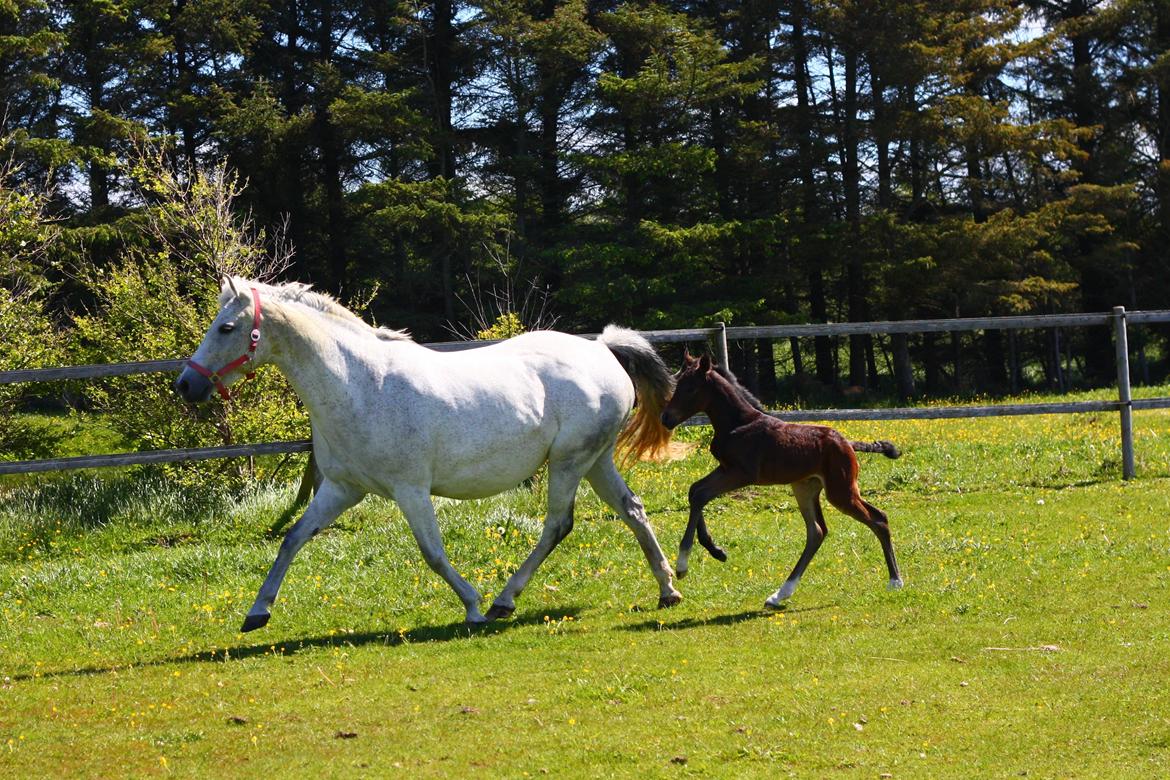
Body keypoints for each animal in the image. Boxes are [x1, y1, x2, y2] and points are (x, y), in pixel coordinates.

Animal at [176, 277, 683, 631]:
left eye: (226, 327)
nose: (187, 385)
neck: (360, 385)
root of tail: (602, 349)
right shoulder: (342, 489)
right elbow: (293, 538)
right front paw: (257, 613)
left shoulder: (411, 490)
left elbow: (433, 553)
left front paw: (473, 607)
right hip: (596, 461)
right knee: (632, 509)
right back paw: (667, 589)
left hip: (569, 462)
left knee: (558, 525)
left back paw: (502, 602)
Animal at [659, 355, 903, 608]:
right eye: (678, 384)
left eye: (690, 388)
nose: (666, 418)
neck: (738, 423)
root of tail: (848, 444)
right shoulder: (725, 469)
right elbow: (694, 490)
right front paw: (716, 550)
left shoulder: (742, 473)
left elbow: (701, 495)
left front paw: (683, 564)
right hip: (805, 488)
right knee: (817, 532)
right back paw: (780, 594)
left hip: (840, 492)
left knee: (878, 519)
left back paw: (895, 581)